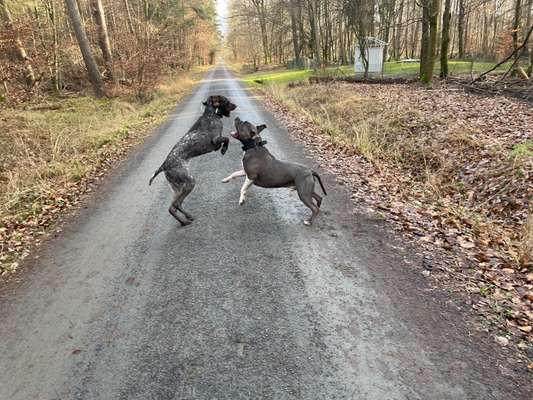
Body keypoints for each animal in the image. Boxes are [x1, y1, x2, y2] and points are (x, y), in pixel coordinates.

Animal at [148, 94, 235, 225]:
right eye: (226, 101)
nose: (235, 105)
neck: (211, 114)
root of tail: (164, 165)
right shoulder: (215, 139)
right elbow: (226, 139)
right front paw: (223, 149)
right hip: (189, 182)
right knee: (176, 205)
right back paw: (185, 221)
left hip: (178, 187)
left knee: (173, 207)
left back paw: (186, 218)